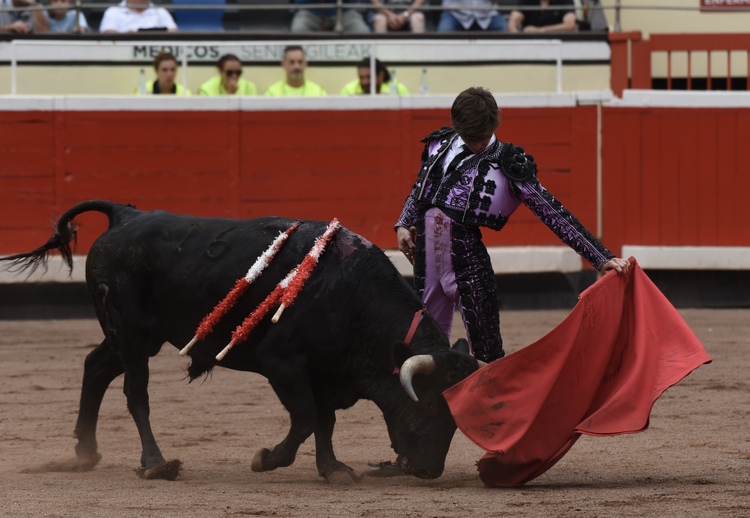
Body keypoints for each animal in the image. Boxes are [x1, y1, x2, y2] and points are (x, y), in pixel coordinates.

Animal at [1, 200, 482, 484]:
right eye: (433, 405)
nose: (429, 470)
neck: (350, 293)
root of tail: (125, 215)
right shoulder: (283, 364)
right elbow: (307, 417)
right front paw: (267, 459)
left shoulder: (325, 373)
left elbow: (325, 420)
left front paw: (333, 469)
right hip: (133, 335)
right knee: (135, 392)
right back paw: (155, 463)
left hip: (133, 336)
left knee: (95, 367)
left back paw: (85, 451)